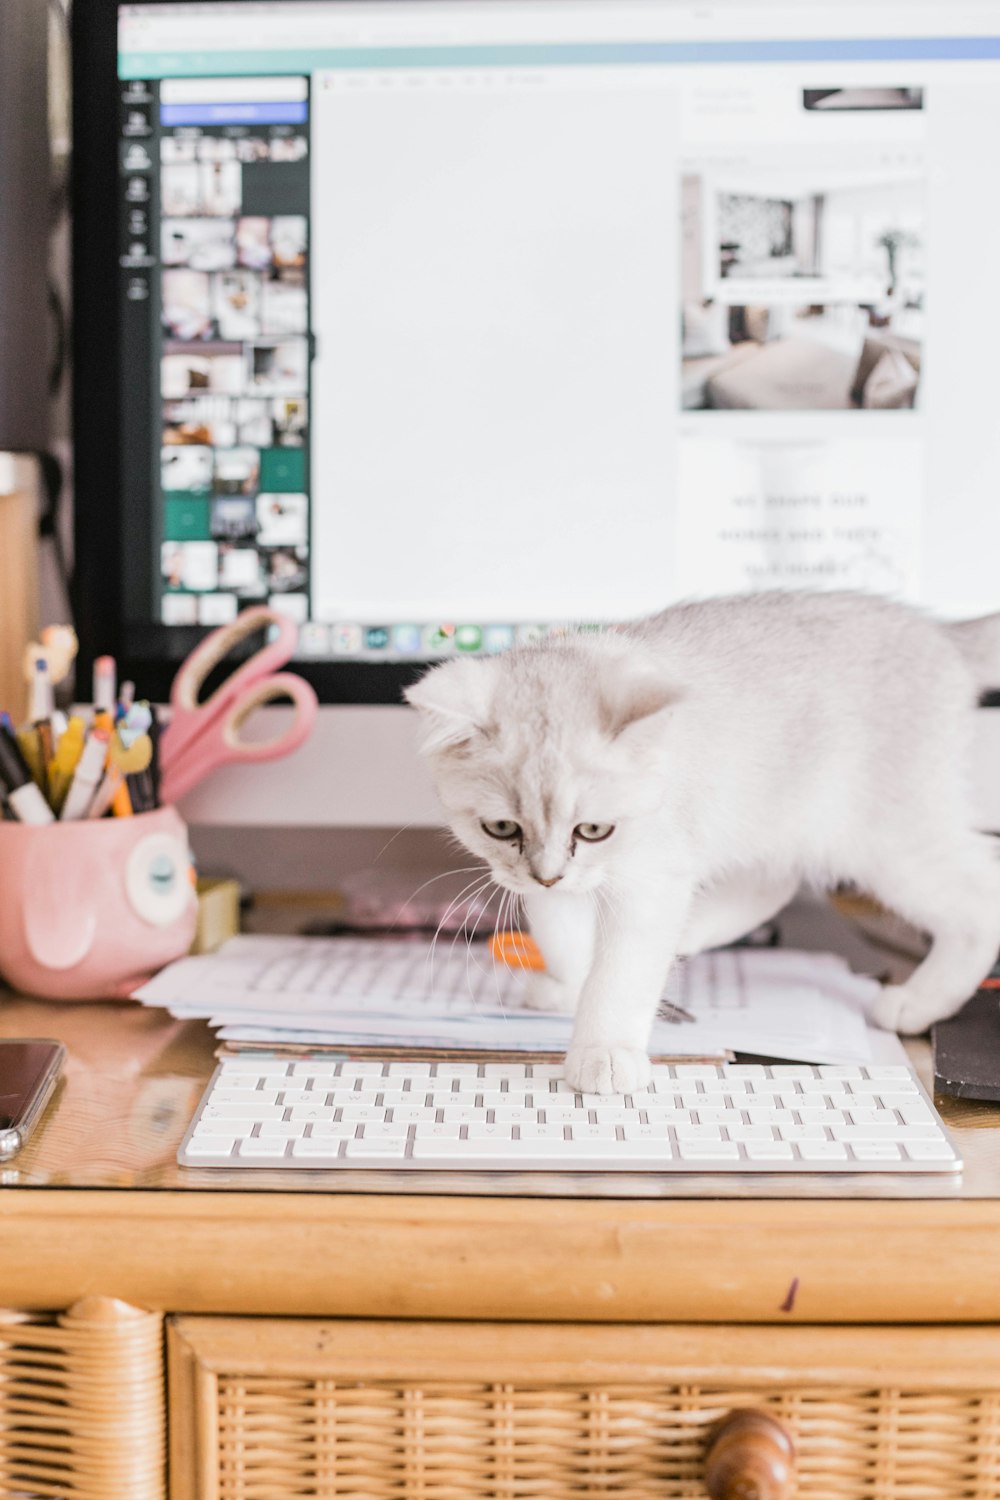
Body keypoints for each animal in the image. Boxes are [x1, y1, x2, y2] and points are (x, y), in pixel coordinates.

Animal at [404, 591, 1000, 1098]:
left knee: (980, 891)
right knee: (770, 884)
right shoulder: (546, 886)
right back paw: (687, 936)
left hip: (885, 839)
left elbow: (619, 974)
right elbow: (564, 935)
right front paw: (571, 984)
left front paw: (604, 1053)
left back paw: (919, 1001)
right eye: (503, 829)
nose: (548, 873)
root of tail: (939, 633)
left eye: (592, 830)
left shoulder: (649, 879)